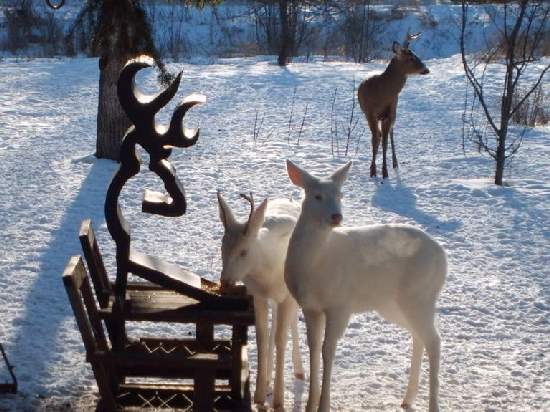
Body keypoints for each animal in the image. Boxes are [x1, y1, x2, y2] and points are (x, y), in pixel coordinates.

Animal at [284, 161, 448, 412]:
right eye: (317, 195)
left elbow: (327, 350)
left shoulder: (340, 305)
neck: (316, 262)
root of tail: (444, 258)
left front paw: (324, 405)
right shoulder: (310, 306)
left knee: (434, 340)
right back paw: (407, 399)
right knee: (418, 336)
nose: (336, 216)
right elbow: (313, 347)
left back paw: (431, 405)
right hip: (392, 303)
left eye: (340, 195)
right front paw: (310, 405)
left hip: (420, 295)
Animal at [360, 30, 434, 179]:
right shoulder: (370, 113)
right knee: (381, 135)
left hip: (393, 113)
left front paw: (384, 172)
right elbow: (375, 140)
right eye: (411, 58)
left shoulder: (390, 112)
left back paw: (395, 163)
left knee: (390, 134)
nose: (426, 69)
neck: (382, 92)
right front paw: (372, 171)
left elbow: (385, 142)